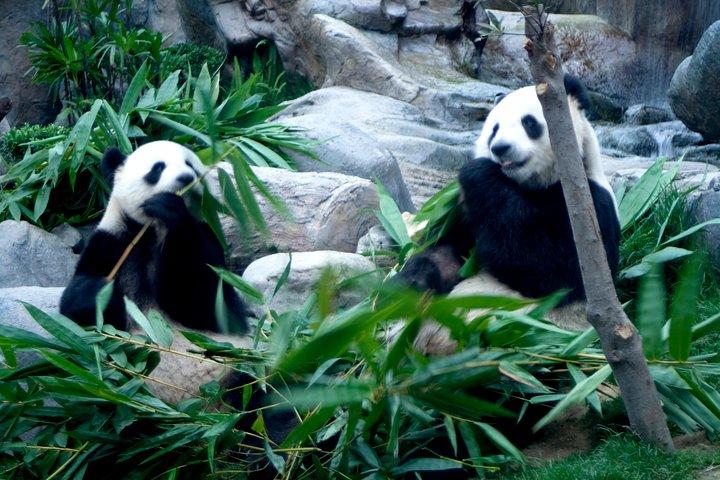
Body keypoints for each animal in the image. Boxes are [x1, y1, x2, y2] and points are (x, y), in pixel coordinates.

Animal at [398, 75, 620, 354]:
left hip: (523, 334)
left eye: (529, 122)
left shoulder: (587, 203)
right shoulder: (466, 212)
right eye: (494, 128)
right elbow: (447, 253)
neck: (529, 185)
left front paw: (479, 172)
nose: (500, 148)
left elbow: (555, 269)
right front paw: (406, 285)